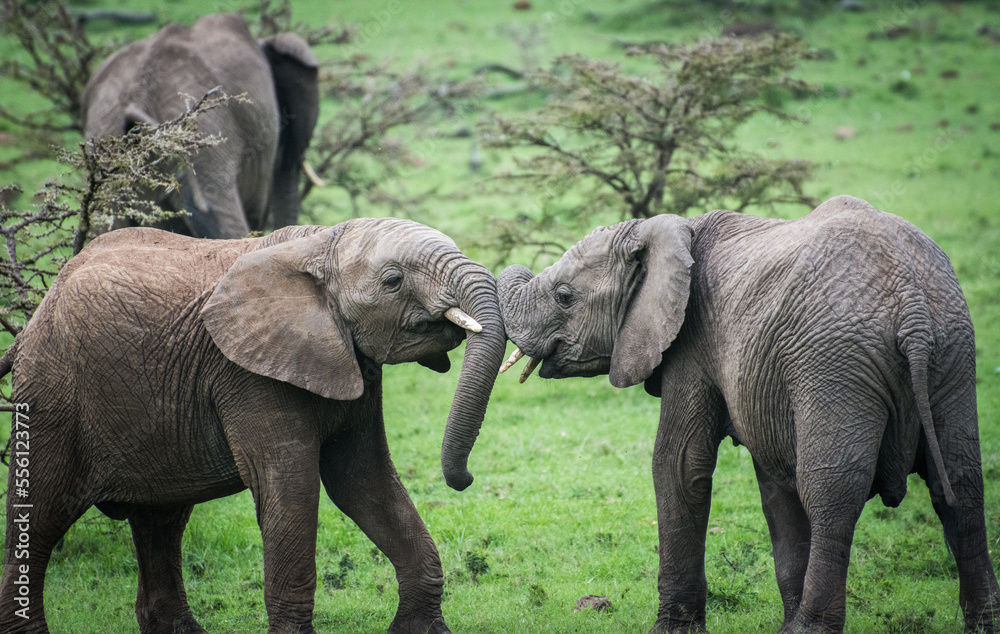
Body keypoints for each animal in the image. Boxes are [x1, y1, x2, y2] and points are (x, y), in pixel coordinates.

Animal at [0, 217, 506, 633]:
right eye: (394, 280)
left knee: (160, 521)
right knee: (40, 517)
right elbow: (291, 486)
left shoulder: (351, 361)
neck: (320, 243)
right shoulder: (247, 373)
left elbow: (363, 479)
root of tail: (33, 321)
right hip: (52, 396)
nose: (464, 479)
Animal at [497, 195, 1000, 633]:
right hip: (953, 350)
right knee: (960, 482)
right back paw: (983, 624)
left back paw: (808, 629)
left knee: (831, 491)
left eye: (564, 296)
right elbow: (774, 481)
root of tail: (911, 302)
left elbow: (679, 465)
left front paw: (672, 630)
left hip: (837, 363)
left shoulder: (692, 342)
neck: (665, 231)